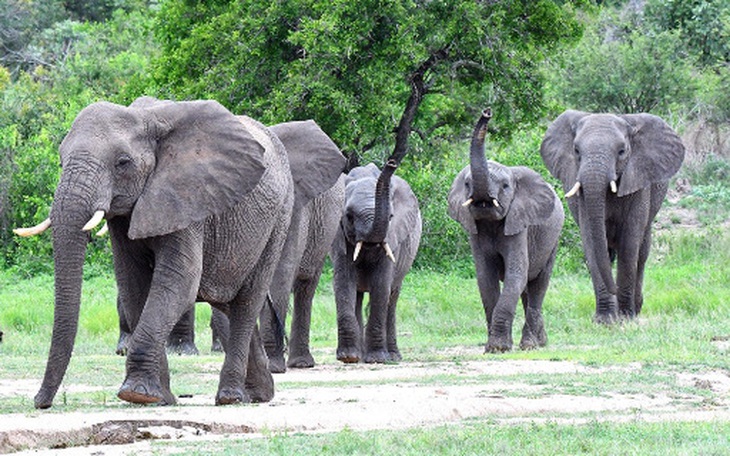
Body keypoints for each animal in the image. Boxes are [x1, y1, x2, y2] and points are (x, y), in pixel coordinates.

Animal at [14, 97, 342, 410]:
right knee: (227, 302)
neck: (145, 120)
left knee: (247, 301)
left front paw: (137, 394)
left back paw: (231, 396)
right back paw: (259, 394)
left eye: (123, 162)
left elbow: (178, 281)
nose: (41, 402)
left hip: (279, 217)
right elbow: (134, 287)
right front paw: (160, 398)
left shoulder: (190, 197)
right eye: (60, 160)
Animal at [330, 162, 420, 366]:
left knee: (392, 299)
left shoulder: (392, 240)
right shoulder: (340, 238)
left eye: (391, 217)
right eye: (348, 216)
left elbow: (380, 286)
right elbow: (343, 284)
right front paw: (348, 357)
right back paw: (361, 356)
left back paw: (392, 356)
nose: (392, 163)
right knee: (357, 296)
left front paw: (377, 358)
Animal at [444, 110, 564, 352]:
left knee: (538, 285)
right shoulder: (476, 231)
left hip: (553, 239)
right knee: (527, 288)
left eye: (506, 187)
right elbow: (485, 278)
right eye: (467, 184)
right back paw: (540, 342)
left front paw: (498, 348)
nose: (487, 112)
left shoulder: (519, 225)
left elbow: (515, 273)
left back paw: (530, 345)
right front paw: (493, 347)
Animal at [536, 109, 684, 324]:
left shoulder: (638, 180)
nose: (614, 288)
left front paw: (625, 318)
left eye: (622, 151)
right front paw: (605, 320)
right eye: (576, 151)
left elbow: (629, 243)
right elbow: (591, 242)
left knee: (642, 253)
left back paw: (636, 308)